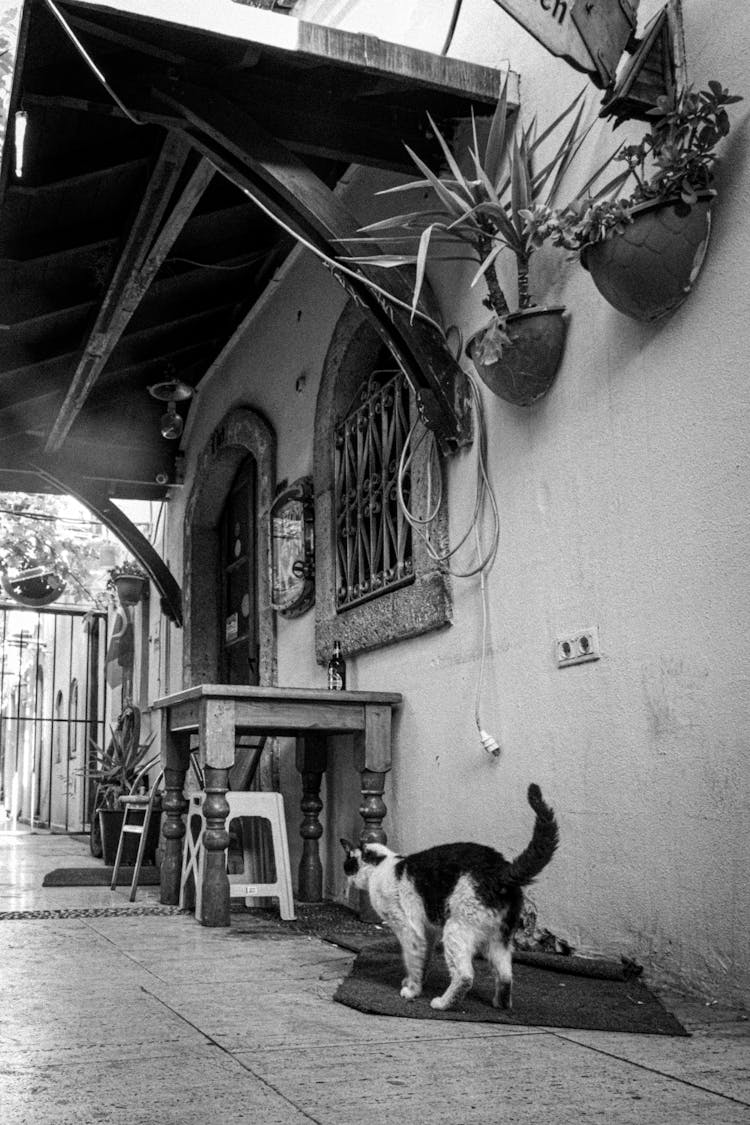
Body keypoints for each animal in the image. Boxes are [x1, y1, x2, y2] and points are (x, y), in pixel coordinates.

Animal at [339, 783, 557, 1012]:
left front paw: (412, 990)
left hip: (455, 930)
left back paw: (442, 1003)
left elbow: (412, 961)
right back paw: (500, 1004)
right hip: (498, 938)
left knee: (465, 976)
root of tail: (502, 871)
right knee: (506, 975)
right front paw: (416, 982)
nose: (346, 878)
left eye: (346, 865)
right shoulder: (427, 932)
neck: (382, 866)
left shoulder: (409, 929)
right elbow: (422, 960)